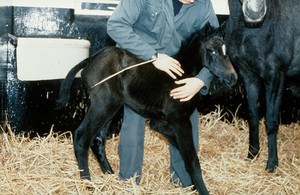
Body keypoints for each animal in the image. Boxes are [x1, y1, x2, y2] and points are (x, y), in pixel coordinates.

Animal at [58, 24, 237, 193]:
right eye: (211, 50)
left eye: (225, 50)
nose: (233, 78)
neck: (182, 75)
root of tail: (91, 59)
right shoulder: (179, 120)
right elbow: (192, 160)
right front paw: (202, 190)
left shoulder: (161, 122)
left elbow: (181, 150)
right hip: (104, 105)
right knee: (82, 137)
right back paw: (88, 185)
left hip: (110, 108)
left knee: (98, 140)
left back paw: (111, 178)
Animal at [225, 0, 300, 173]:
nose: (254, 12)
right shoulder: (248, 76)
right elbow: (253, 116)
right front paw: (252, 154)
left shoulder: (275, 77)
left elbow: (271, 120)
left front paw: (272, 163)